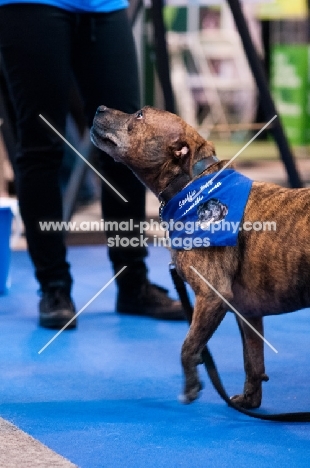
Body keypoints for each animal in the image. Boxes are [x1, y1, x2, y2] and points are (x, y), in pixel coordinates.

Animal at [90, 104, 310, 408]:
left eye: (139, 116)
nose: (99, 107)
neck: (191, 182)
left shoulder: (211, 295)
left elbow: (188, 346)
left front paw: (191, 385)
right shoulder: (248, 313)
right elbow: (252, 360)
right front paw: (249, 402)